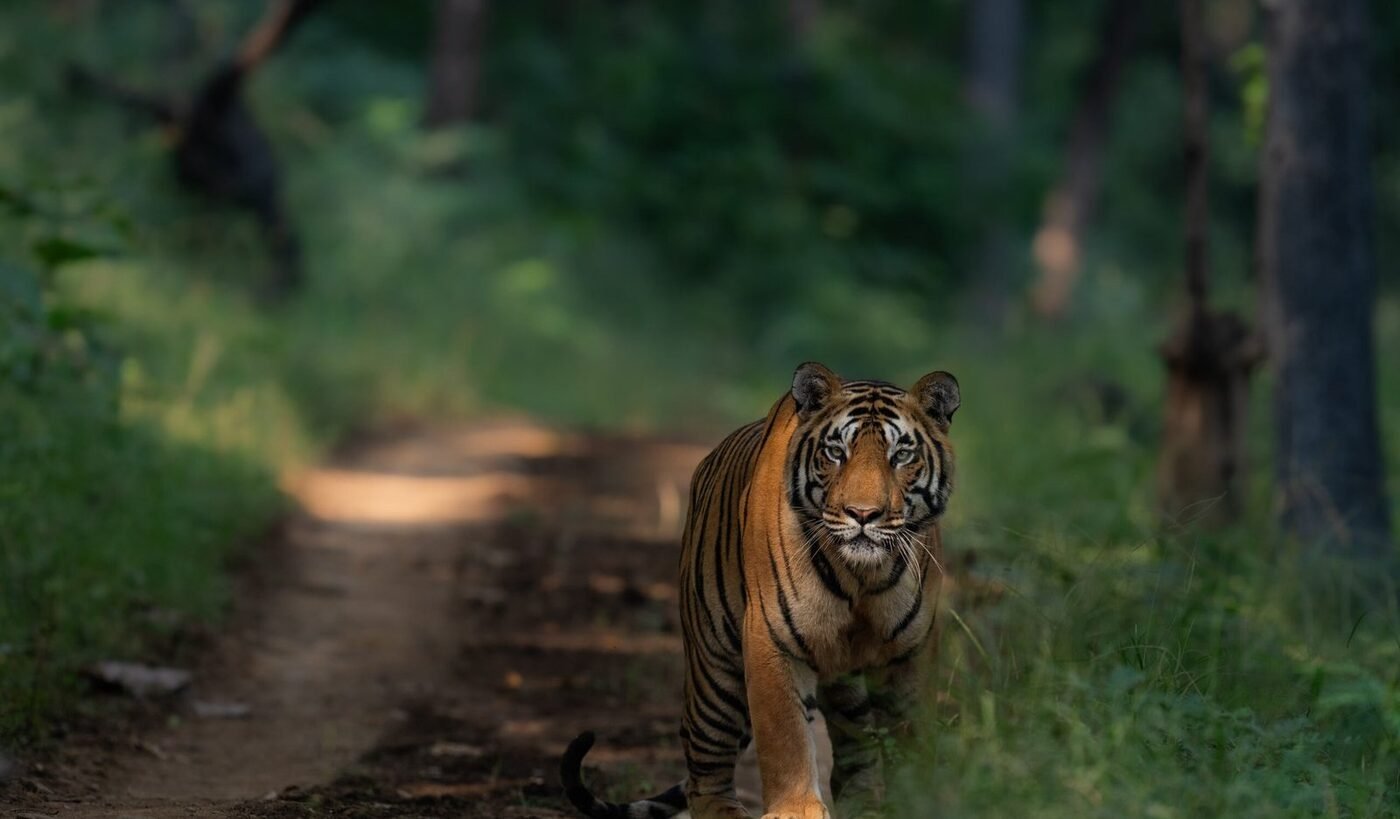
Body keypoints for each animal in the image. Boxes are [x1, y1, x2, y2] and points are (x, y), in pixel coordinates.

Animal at [561, 362, 960, 819]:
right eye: (836, 452)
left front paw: (913, 798)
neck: (861, 576)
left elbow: (912, 739)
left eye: (902, 456)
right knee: (705, 779)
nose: (862, 514)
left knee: (853, 758)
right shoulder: (772, 636)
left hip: (846, 685)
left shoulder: (913, 651)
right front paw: (796, 809)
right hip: (713, 670)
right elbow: (785, 737)